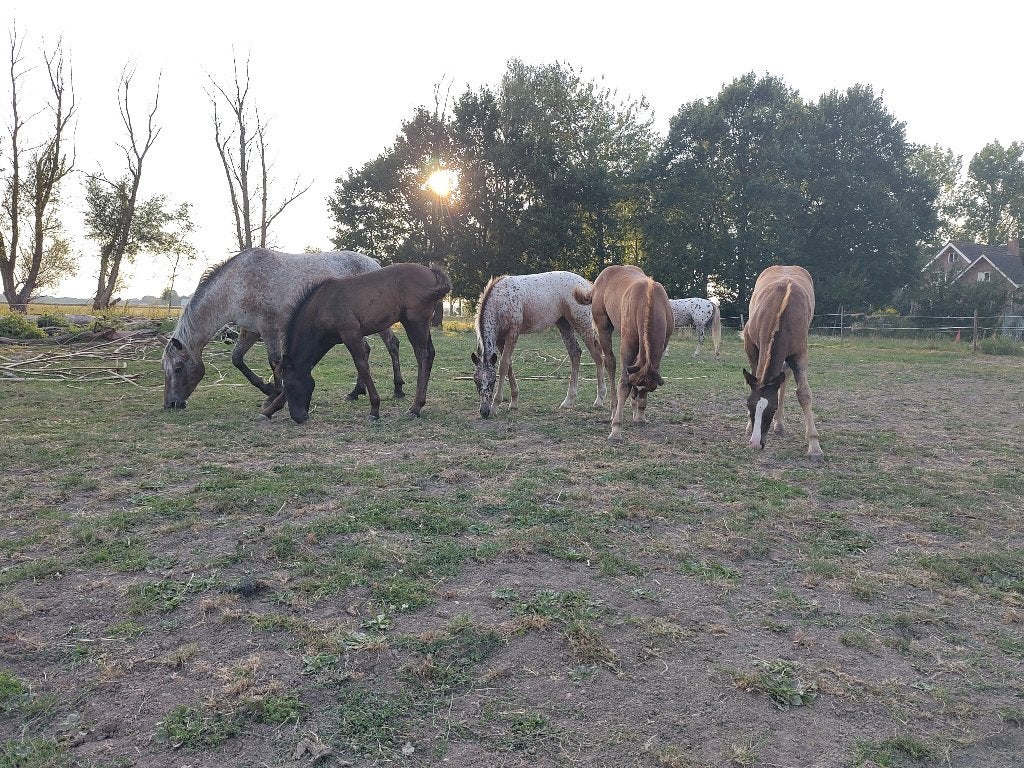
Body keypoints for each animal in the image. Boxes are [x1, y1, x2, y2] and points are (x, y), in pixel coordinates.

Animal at [162, 248, 405, 410]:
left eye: (178, 369)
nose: (170, 404)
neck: (238, 285)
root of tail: (373, 262)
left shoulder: (269, 329)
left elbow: (274, 361)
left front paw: (275, 393)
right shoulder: (251, 330)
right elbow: (237, 359)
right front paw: (267, 389)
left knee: (392, 345)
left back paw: (398, 389)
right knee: (364, 351)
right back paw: (355, 392)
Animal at [261, 263, 450, 424]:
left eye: (292, 386)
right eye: (286, 387)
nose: (298, 417)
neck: (323, 305)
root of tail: (432, 272)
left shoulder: (350, 334)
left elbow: (362, 365)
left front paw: (374, 408)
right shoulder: (325, 342)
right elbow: (311, 366)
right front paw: (269, 411)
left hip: (415, 322)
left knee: (422, 355)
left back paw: (415, 407)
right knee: (429, 353)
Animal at [470, 271, 607, 418]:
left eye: (493, 381)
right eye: (476, 381)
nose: (484, 411)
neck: (500, 301)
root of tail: (587, 285)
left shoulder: (513, 333)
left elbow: (503, 366)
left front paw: (496, 405)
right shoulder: (500, 339)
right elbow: (508, 365)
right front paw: (514, 402)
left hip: (582, 323)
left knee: (597, 356)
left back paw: (599, 400)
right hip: (563, 323)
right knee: (575, 353)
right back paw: (568, 400)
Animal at [573, 265, 673, 444]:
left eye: (648, 389)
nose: (637, 398)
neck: (648, 301)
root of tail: (598, 281)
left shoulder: (662, 345)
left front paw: (639, 414)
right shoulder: (627, 345)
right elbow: (623, 383)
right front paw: (616, 429)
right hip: (603, 327)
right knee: (610, 363)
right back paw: (614, 410)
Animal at [742, 264, 823, 458]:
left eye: (772, 408)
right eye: (749, 405)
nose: (756, 443)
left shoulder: (799, 355)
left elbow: (803, 394)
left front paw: (814, 445)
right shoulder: (752, 347)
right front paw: (748, 426)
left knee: (783, 379)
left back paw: (779, 425)